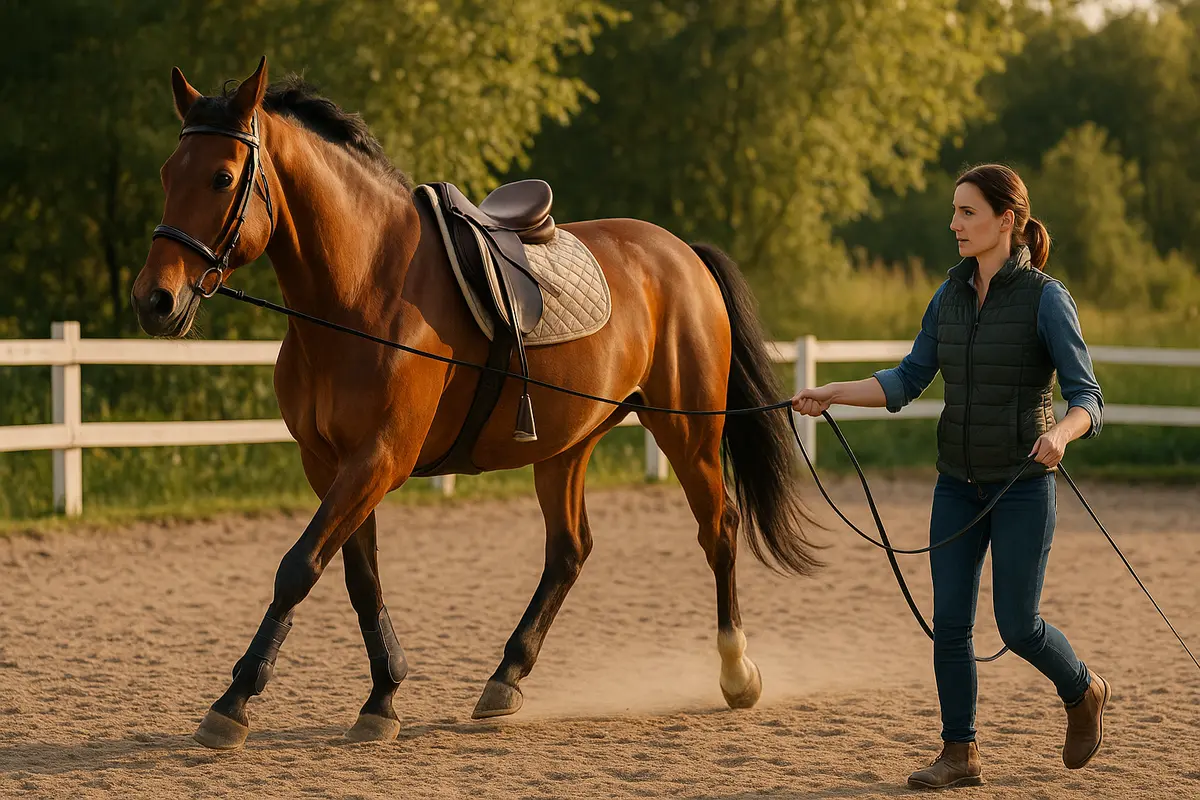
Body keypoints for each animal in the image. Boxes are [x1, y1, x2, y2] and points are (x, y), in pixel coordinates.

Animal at [131, 56, 820, 750]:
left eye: (222, 177)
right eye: (167, 173)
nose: (154, 300)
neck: (365, 292)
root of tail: (681, 252)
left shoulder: (379, 460)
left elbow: (299, 567)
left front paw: (234, 701)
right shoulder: (333, 465)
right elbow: (359, 578)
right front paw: (382, 698)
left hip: (686, 431)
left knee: (718, 529)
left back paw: (736, 674)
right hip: (567, 445)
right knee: (569, 551)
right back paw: (506, 677)